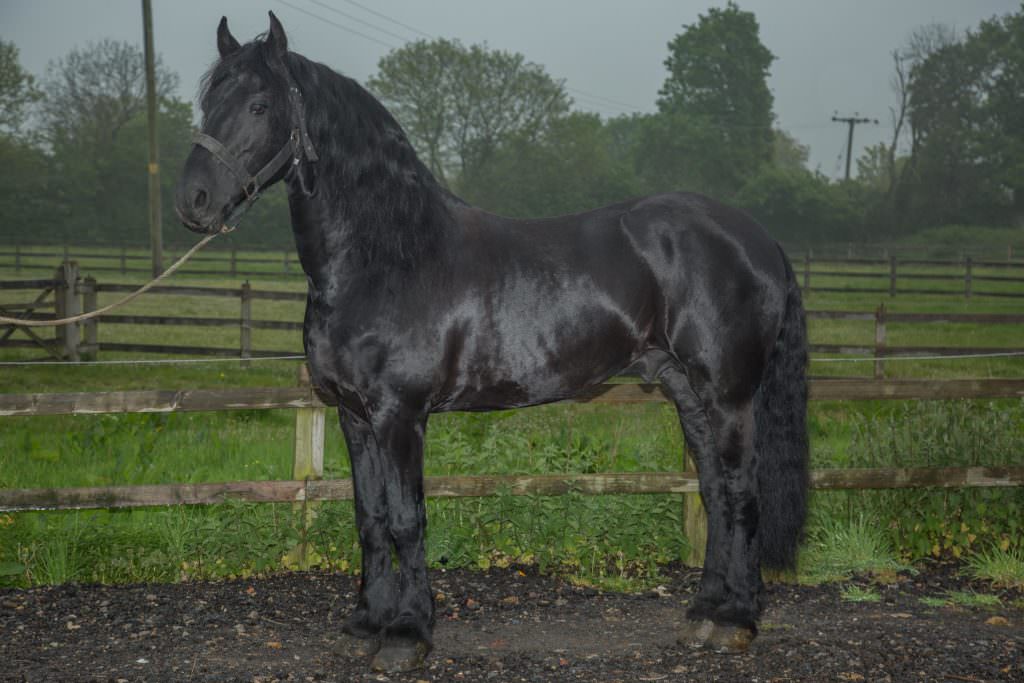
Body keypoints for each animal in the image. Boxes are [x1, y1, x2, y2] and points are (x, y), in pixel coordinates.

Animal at [174, 12, 809, 673]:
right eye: (208, 100)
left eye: (258, 104)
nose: (193, 201)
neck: (386, 257)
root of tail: (758, 239)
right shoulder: (353, 416)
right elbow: (370, 517)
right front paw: (366, 621)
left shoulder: (400, 415)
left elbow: (407, 519)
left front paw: (407, 634)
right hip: (687, 392)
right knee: (714, 490)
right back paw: (705, 613)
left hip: (729, 394)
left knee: (741, 492)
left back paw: (736, 621)